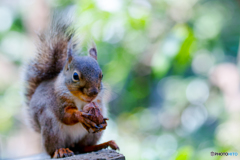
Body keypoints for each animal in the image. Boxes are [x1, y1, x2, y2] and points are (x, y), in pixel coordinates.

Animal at [23, 14, 119, 158]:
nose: (93, 92)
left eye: (101, 75)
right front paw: (80, 116)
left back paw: (102, 144)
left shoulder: (98, 101)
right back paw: (61, 151)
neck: (80, 99)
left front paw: (103, 121)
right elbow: (66, 115)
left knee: (83, 147)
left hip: (90, 136)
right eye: (75, 76)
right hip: (52, 129)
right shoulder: (57, 101)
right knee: (53, 150)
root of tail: (71, 144)